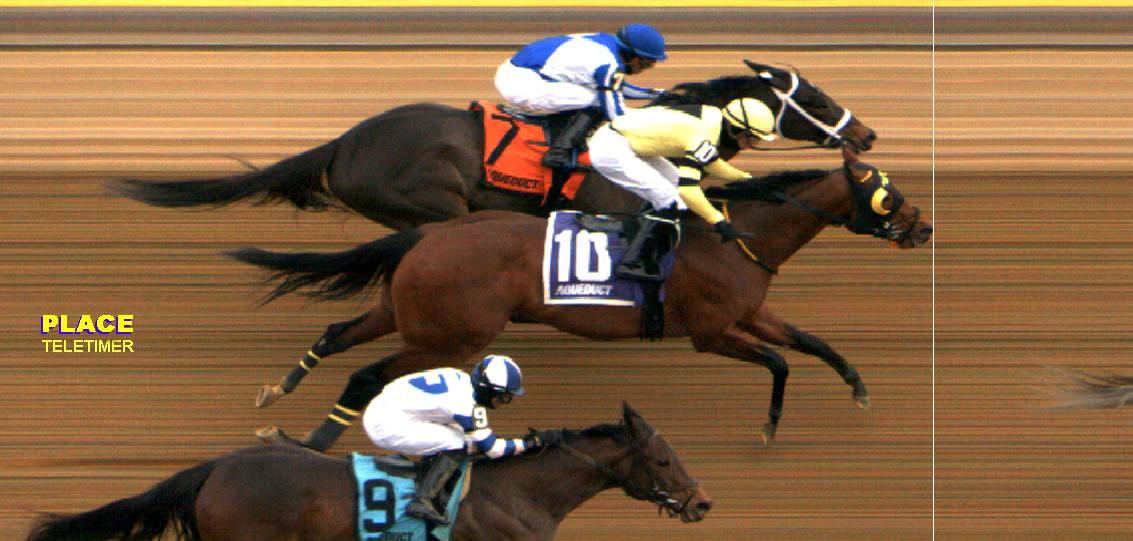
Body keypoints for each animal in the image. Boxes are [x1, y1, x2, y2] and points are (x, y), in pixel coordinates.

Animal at [229, 148, 932, 450]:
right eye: (888, 194)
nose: (923, 227)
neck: (736, 235)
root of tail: (431, 231)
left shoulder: (751, 311)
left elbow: (812, 343)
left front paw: (858, 388)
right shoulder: (713, 331)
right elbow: (782, 361)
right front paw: (768, 426)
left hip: (413, 313)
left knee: (338, 334)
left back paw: (275, 395)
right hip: (451, 334)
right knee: (366, 373)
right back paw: (311, 440)